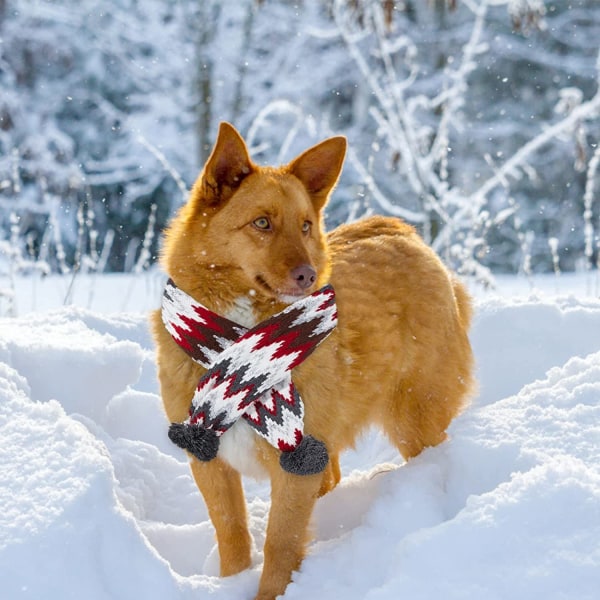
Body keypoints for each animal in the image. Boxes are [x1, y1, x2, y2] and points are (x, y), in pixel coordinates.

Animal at [150, 123, 474, 600]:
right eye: (262, 223)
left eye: (305, 226)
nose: (306, 276)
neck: (244, 336)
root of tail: (399, 230)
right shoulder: (208, 458)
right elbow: (233, 534)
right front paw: (233, 582)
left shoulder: (296, 462)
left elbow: (281, 544)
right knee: (332, 478)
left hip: (415, 420)